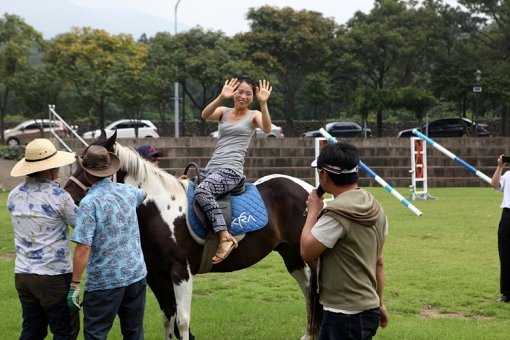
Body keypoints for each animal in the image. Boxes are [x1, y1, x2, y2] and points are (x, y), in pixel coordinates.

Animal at [63, 133, 318, 340]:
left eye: (88, 166)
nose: (68, 194)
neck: (160, 210)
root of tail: (308, 190)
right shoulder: (156, 275)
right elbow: (168, 318)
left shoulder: (180, 272)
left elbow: (183, 321)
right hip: (291, 255)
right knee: (308, 291)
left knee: (315, 293)